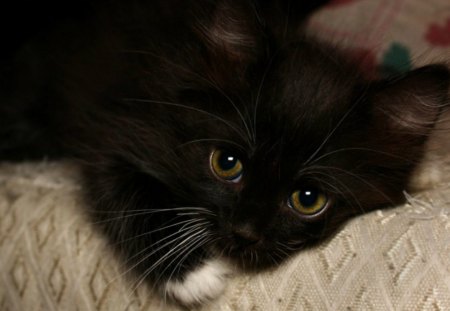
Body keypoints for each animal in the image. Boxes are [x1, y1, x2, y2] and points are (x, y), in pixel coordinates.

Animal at [0, 0, 448, 308]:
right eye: (226, 163)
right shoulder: (119, 131)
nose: (244, 232)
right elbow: (126, 190)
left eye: (308, 199)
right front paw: (194, 275)